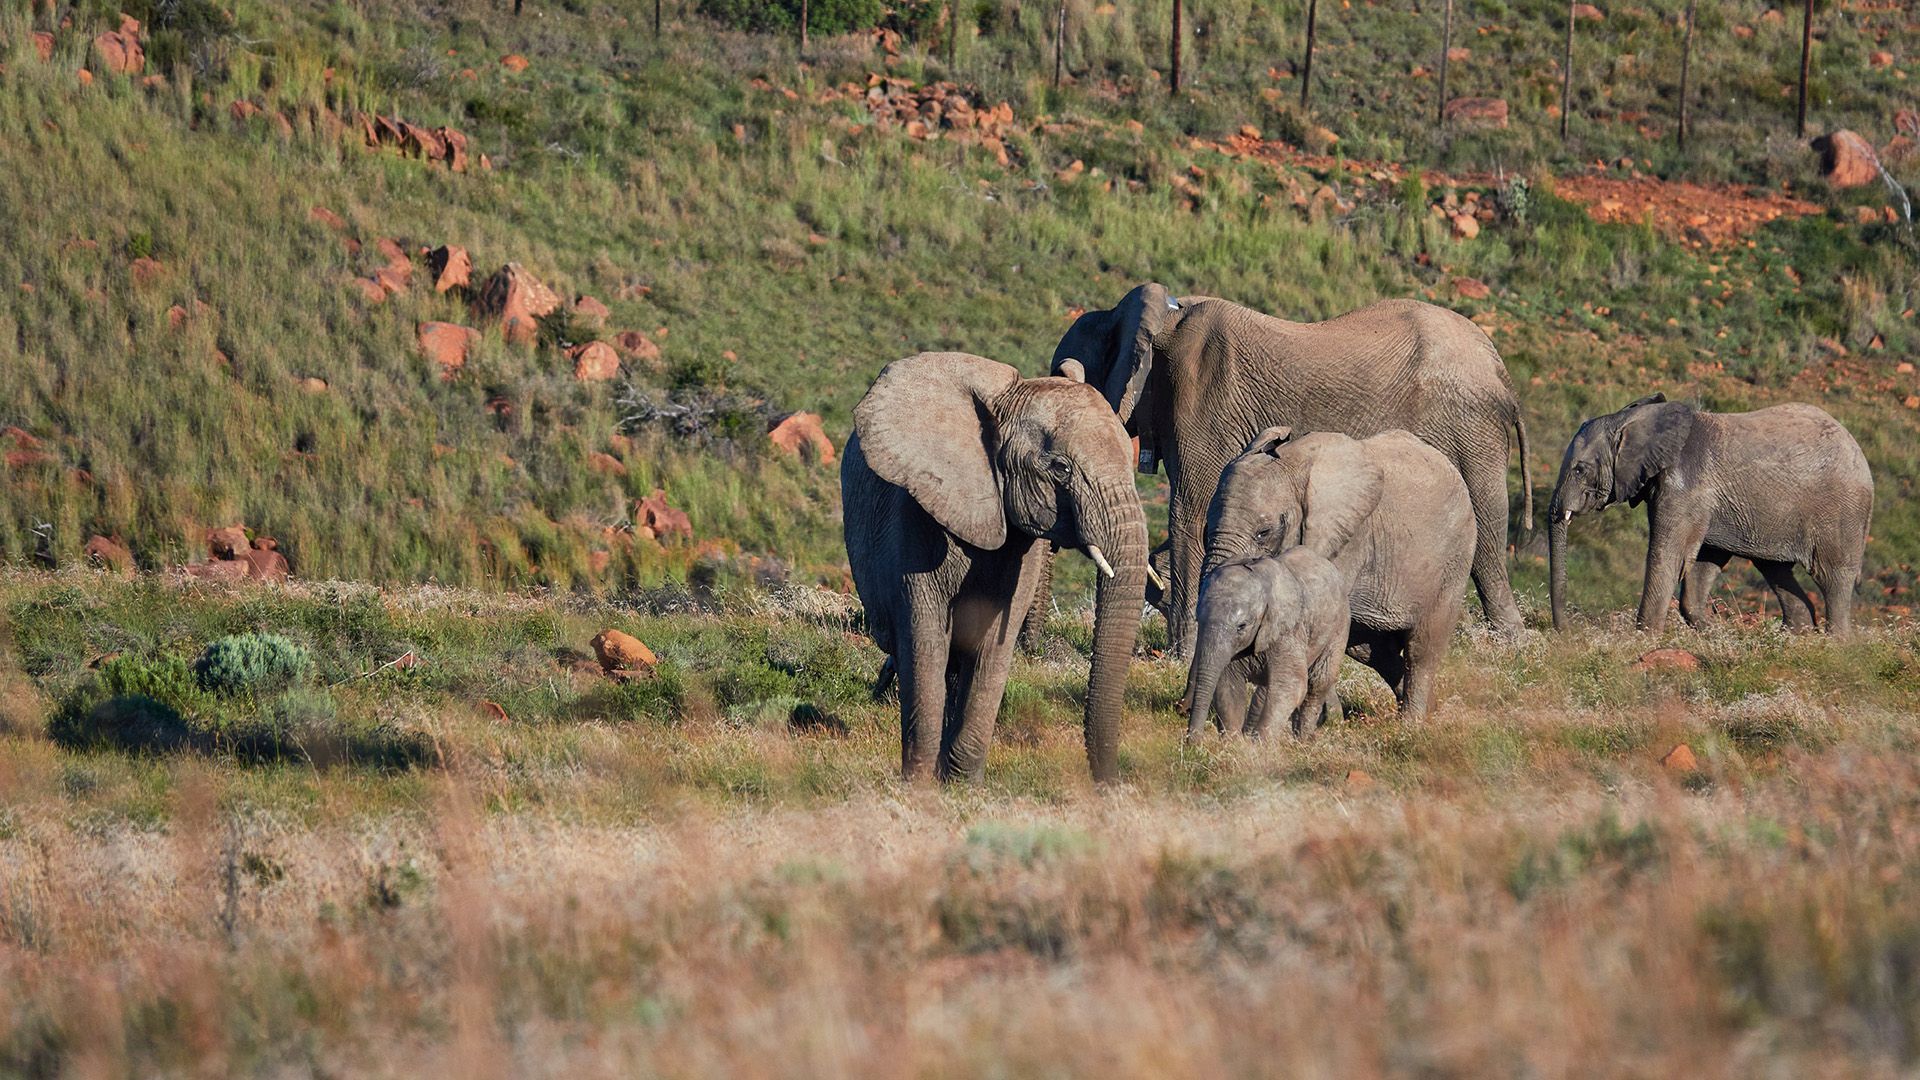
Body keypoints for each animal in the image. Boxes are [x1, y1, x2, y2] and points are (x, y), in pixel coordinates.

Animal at [848, 349, 1144, 776]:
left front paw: (960, 783)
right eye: (1060, 468)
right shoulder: (913, 518)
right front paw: (920, 784)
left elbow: (993, 649)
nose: (1111, 783)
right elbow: (925, 640)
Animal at [1044, 284, 1536, 657]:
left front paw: (1181, 655)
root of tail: (1501, 372)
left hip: (1470, 427)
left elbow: (1192, 512)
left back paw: (1508, 645)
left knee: (1487, 531)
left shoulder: (1202, 394)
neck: (1162, 317)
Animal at [1182, 545, 1351, 737]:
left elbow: (1291, 684)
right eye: (1199, 620)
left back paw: (1303, 740)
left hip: (1340, 624)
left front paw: (1259, 743)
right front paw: (1234, 742)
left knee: (1318, 683)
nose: (1191, 741)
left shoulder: (1287, 631)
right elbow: (1228, 684)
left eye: (1241, 626)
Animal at [1205, 424, 1474, 718]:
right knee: (1372, 649)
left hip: (1455, 559)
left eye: (1263, 533)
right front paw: (1329, 721)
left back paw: (1412, 723)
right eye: (1206, 530)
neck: (1293, 464)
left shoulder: (1350, 538)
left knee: (1422, 647)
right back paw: (1429, 711)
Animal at [1543, 393, 1873, 630]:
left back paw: (1836, 645)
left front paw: (1643, 638)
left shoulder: (1686, 487)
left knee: (1833, 578)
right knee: (1775, 569)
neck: (1635, 418)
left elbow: (1670, 556)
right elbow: (1704, 560)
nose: (1568, 632)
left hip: (1841, 512)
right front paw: (1713, 633)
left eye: (1580, 469)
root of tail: (1860, 455)